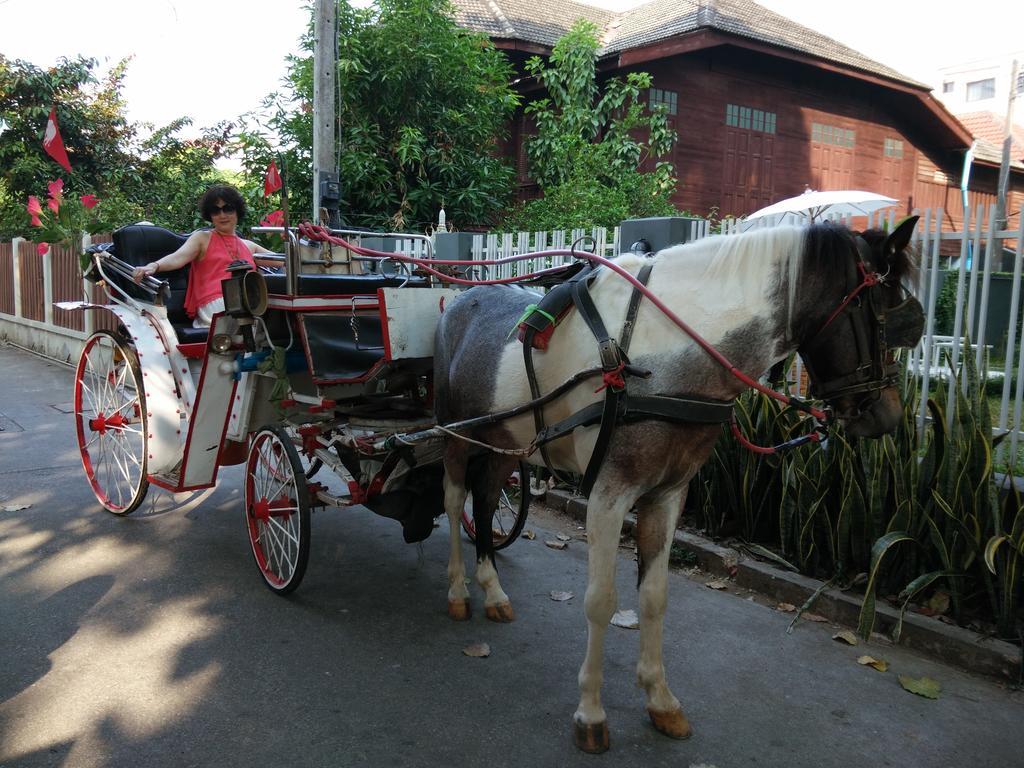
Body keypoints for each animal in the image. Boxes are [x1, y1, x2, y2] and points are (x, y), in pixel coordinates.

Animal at [430, 215, 921, 753]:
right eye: (883, 311)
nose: (888, 415)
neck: (660, 355)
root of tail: (460, 299)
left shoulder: (667, 495)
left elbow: (655, 597)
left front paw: (660, 699)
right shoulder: (609, 494)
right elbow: (601, 602)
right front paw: (591, 712)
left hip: (507, 443)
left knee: (485, 497)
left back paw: (493, 590)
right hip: (455, 433)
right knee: (454, 502)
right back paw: (457, 591)